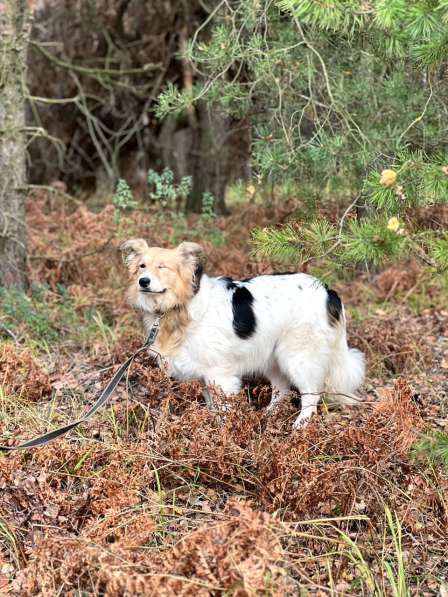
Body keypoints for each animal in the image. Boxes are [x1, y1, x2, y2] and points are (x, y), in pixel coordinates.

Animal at [121, 239, 366, 428]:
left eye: (163, 267)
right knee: (282, 390)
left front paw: (223, 436)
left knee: (311, 396)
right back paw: (267, 416)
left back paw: (300, 426)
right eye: (142, 266)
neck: (179, 306)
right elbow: (213, 407)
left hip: (298, 357)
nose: (143, 281)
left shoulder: (219, 375)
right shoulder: (206, 376)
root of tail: (327, 290)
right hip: (272, 356)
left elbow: (223, 410)